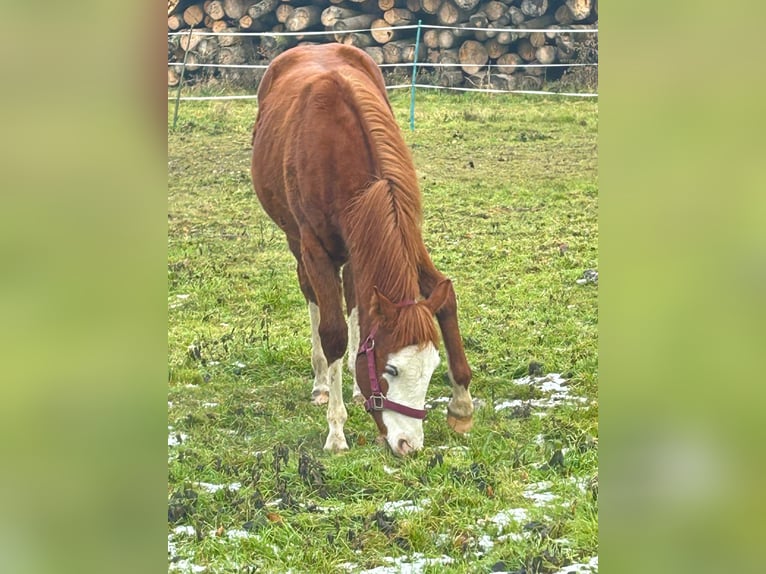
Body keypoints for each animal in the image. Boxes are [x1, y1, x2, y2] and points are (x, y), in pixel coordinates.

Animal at [252, 44, 474, 460]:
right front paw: (336, 432)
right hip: (298, 242)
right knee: (313, 298)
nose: (409, 445)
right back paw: (322, 384)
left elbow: (445, 295)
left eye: (431, 368)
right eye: (391, 370)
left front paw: (461, 405)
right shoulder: (315, 249)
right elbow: (333, 333)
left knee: (356, 299)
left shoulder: (403, 236)